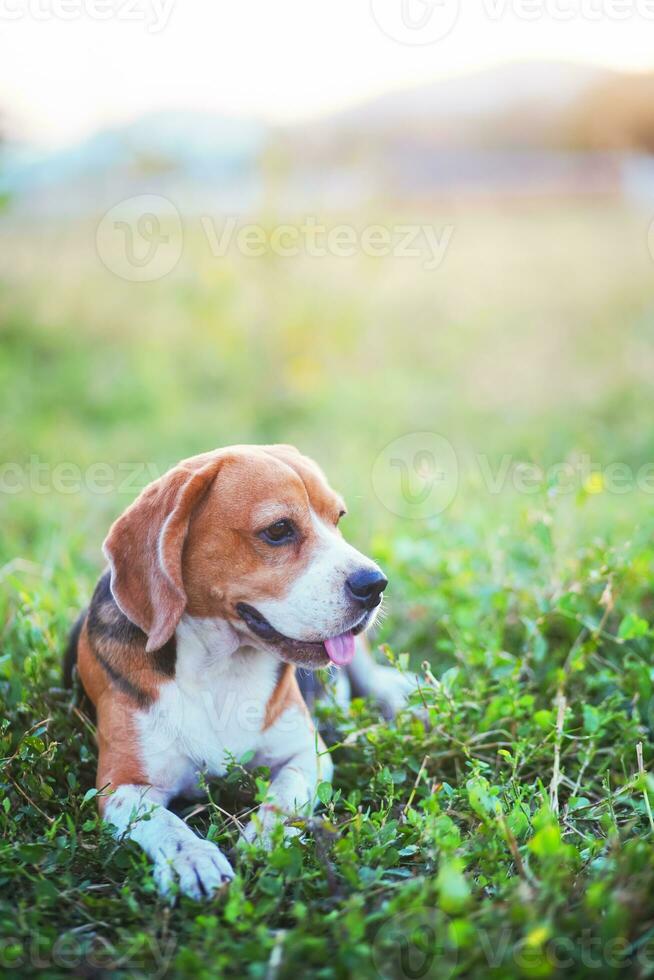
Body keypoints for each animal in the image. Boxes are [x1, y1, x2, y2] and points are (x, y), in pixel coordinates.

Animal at [65, 442, 404, 896]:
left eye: (339, 519)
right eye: (278, 530)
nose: (375, 585)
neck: (219, 667)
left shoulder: (308, 755)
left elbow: (284, 794)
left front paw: (267, 836)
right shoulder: (120, 785)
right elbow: (164, 824)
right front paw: (190, 858)